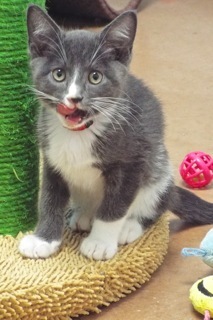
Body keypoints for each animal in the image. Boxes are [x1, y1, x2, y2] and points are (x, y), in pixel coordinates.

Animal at [19, 5, 212, 260]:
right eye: (59, 74)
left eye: (95, 77)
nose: (74, 98)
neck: (78, 133)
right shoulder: (52, 158)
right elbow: (49, 198)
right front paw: (43, 239)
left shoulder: (133, 160)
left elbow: (115, 205)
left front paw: (100, 243)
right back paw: (83, 214)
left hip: (158, 166)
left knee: (159, 201)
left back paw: (130, 226)